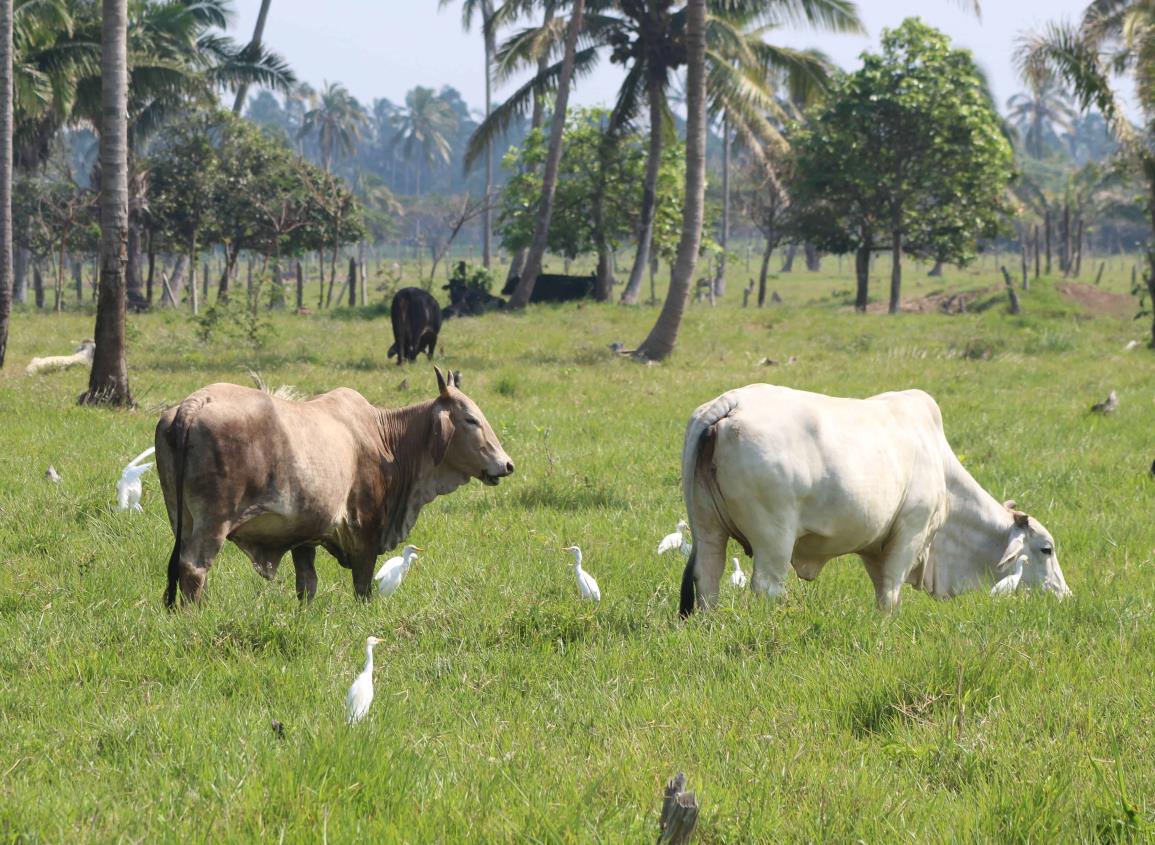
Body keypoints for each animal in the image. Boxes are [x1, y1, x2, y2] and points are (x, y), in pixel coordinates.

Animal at [155, 367, 517, 604]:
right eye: (470, 419)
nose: (507, 464)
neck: (387, 440)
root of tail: (194, 403)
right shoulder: (366, 533)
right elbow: (363, 586)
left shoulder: (302, 536)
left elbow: (307, 584)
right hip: (213, 522)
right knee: (194, 568)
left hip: (181, 519)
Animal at [679, 385, 1067, 614]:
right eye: (1046, 549)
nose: (1064, 595)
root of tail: (732, 403)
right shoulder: (911, 531)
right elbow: (891, 591)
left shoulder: (875, 543)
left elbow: (881, 586)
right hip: (774, 538)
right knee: (767, 586)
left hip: (707, 528)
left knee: (707, 578)